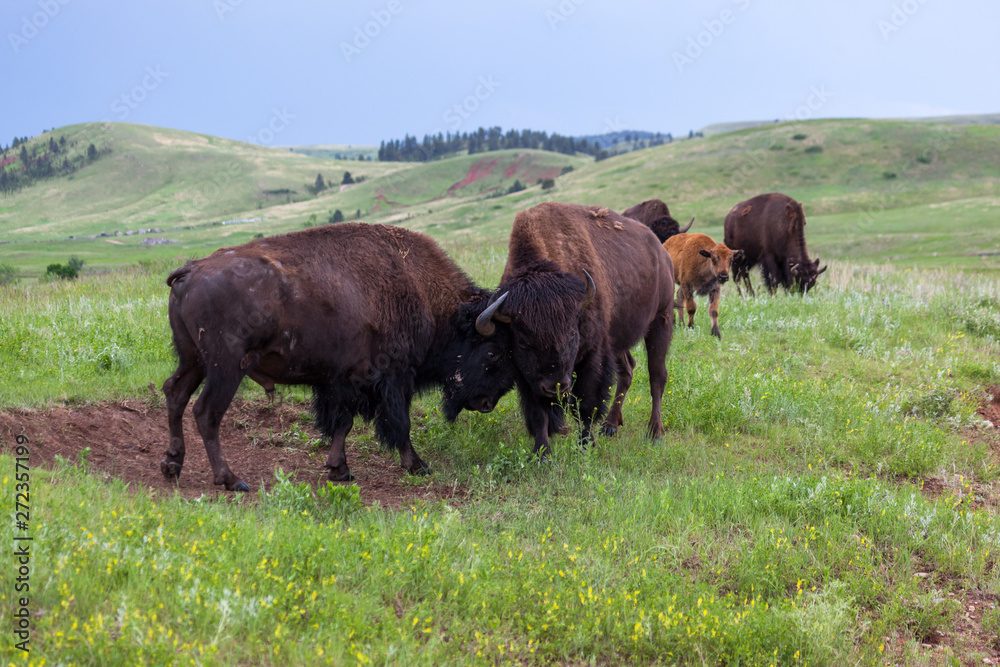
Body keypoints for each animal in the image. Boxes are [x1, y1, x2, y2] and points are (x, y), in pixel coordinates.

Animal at [161, 224, 516, 490]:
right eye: (493, 351)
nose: (487, 403)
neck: (423, 294)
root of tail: (191, 270)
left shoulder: (340, 381)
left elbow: (342, 423)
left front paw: (339, 470)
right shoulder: (394, 378)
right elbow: (399, 423)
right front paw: (417, 465)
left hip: (192, 360)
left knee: (175, 394)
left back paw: (172, 464)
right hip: (226, 367)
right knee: (206, 412)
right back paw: (231, 480)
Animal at [472, 201, 676, 456]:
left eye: (571, 334)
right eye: (523, 342)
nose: (556, 386)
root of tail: (662, 252)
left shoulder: (592, 357)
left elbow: (586, 404)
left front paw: (585, 445)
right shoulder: (528, 376)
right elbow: (538, 414)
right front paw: (542, 453)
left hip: (661, 320)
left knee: (657, 376)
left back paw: (654, 433)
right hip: (618, 340)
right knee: (628, 370)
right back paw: (610, 426)